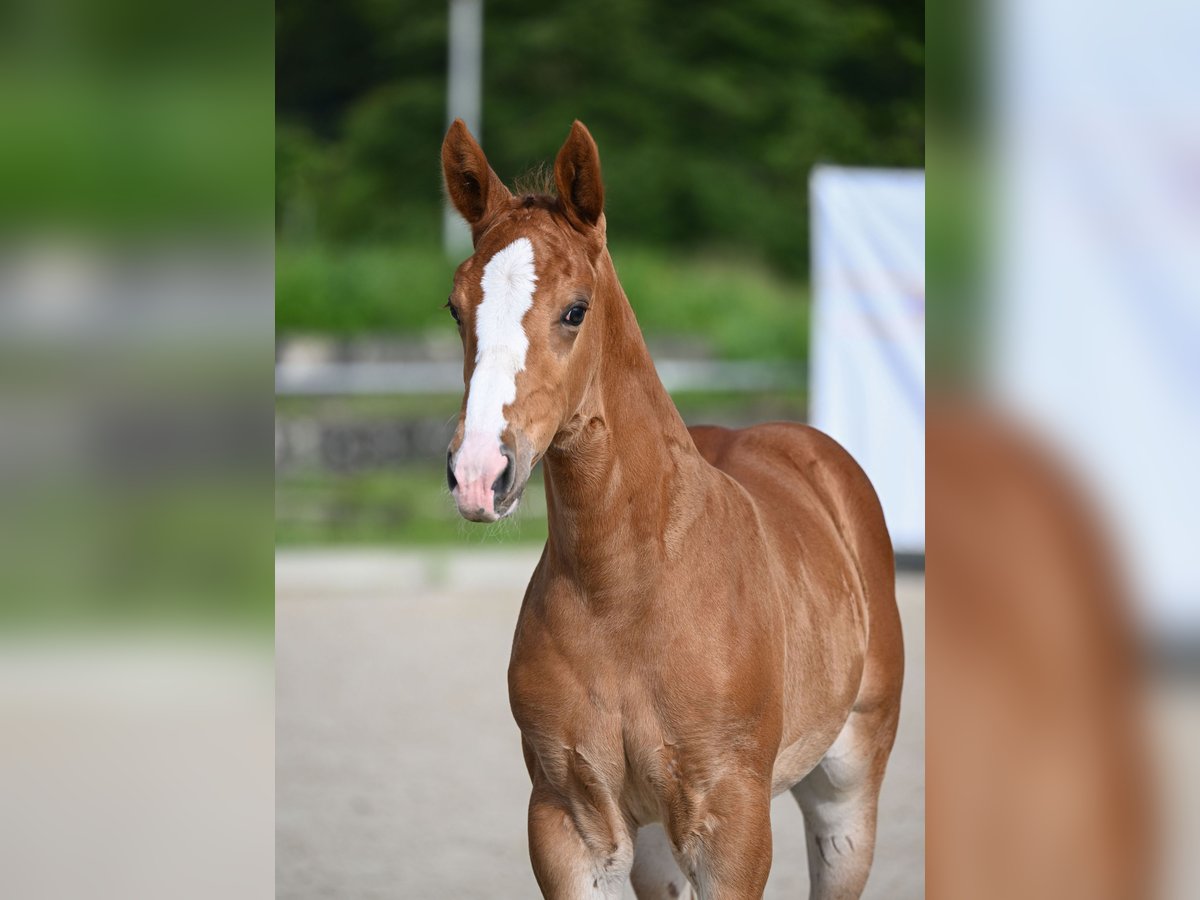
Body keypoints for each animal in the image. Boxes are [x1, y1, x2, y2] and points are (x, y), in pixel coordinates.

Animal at [441, 121, 902, 900]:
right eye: (455, 307)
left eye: (575, 309)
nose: (479, 473)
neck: (625, 592)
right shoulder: (568, 820)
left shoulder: (733, 823)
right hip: (657, 843)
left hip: (847, 792)